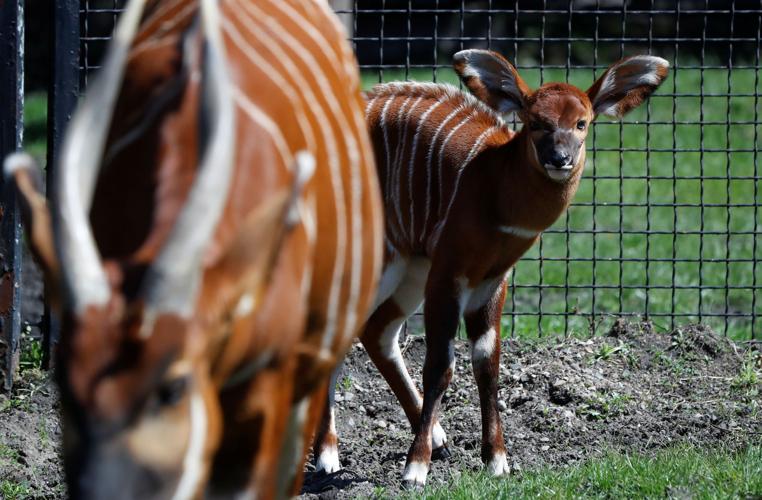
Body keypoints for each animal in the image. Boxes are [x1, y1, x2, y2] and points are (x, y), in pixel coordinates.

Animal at [314, 50, 668, 486]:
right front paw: (415, 469)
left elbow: (487, 363)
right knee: (333, 332)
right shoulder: (448, 274)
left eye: (581, 122)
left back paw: (438, 439)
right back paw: (327, 455)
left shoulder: (491, 281)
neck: (494, 185)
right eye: (535, 122)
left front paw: (496, 461)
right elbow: (441, 365)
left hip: (407, 267)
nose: (560, 159)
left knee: (374, 331)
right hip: (373, 260)